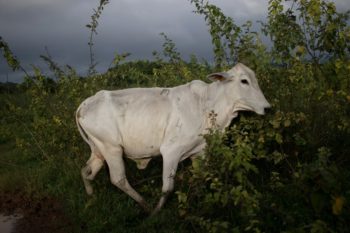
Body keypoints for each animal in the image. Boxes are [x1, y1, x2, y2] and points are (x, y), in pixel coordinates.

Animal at [75, 62, 270, 214]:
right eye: (244, 81)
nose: (267, 108)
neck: (207, 106)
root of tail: (85, 103)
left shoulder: (199, 151)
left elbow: (199, 177)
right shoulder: (171, 151)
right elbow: (167, 189)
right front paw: (157, 212)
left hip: (99, 149)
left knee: (86, 171)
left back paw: (91, 197)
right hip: (112, 148)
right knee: (118, 179)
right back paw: (146, 207)